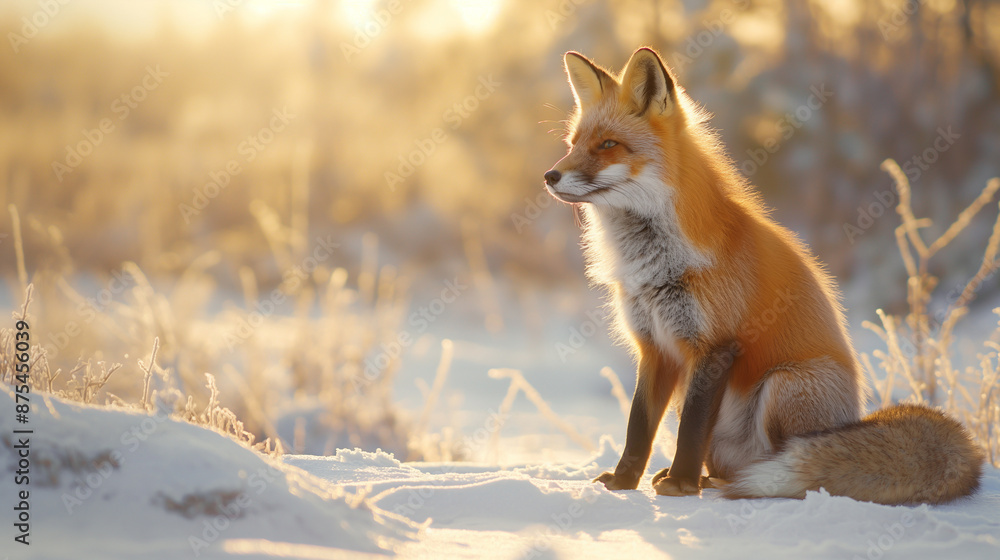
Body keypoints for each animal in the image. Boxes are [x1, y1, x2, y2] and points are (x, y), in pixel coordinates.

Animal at [543, 47, 984, 505]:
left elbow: (690, 429)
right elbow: (638, 426)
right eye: (573, 145)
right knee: (728, 463)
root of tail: (853, 417)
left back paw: (742, 480)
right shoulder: (655, 347)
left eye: (608, 145)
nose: (549, 176)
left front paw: (680, 485)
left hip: (783, 384)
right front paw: (624, 482)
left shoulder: (715, 344)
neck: (656, 265)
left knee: (794, 461)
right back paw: (710, 478)